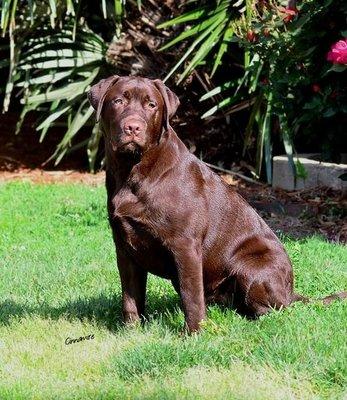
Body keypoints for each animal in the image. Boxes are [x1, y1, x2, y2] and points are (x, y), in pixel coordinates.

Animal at [88, 76, 346, 332]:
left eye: (151, 105)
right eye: (119, 101)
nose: (132, 127)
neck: (133, 170)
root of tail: (291, 292)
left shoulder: (185, 245)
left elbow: (191, 295)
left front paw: (193, 333)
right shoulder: (124, 248)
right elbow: (130, 296)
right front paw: (131, 331)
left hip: (250, 267)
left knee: (272, 310)